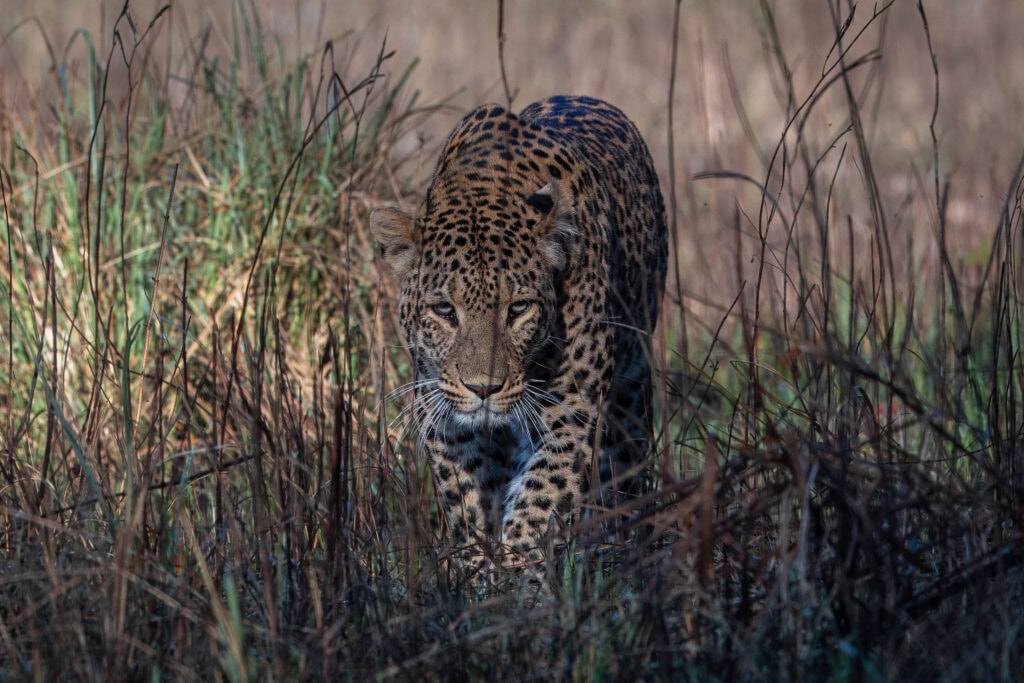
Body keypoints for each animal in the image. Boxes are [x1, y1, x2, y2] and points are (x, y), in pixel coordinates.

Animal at [371, 95, 667, 567]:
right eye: (444, 311)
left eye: (519, 309)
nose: (483, 389)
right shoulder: (446, 420)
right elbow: (470, 508)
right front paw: (480, 573)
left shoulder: (571, 411)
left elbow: (538, 503)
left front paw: (521, 575)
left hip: (630, 391)